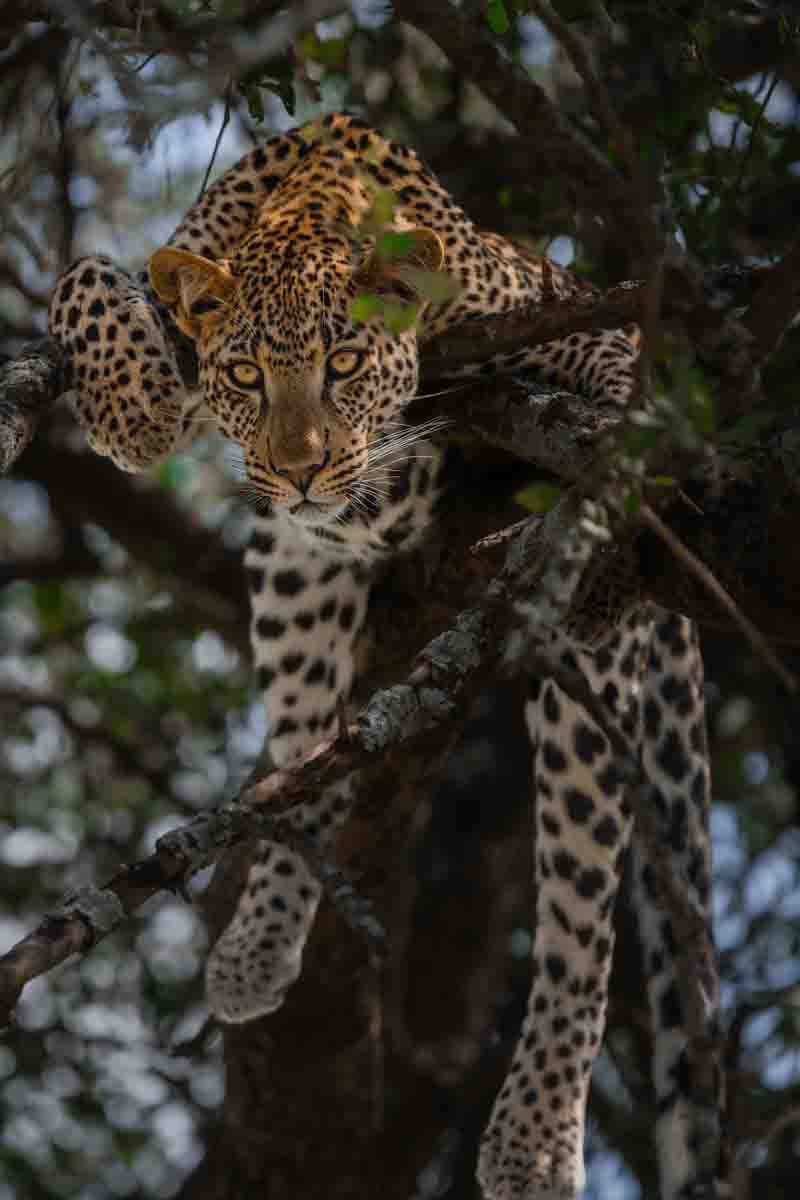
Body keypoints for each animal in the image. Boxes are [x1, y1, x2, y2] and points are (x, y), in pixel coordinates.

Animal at [48, 112, 722, 1200]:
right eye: (246, 376)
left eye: (342, 365)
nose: (298, 466)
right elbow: (87, 272)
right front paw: (130, 404)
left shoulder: (566, 320)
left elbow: (631, 389)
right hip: (293, 581)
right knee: (305, 754)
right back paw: (261, 938)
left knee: (581, 905)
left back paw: (535, 1134)